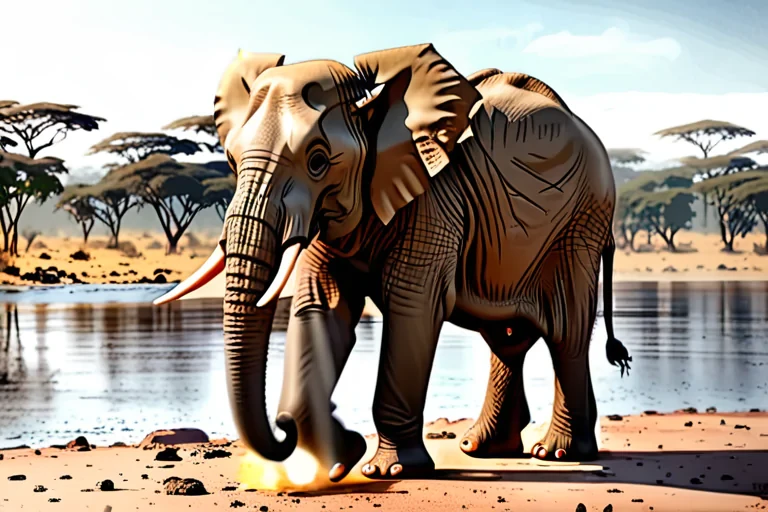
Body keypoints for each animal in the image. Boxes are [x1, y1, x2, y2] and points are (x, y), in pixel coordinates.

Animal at [154, 43, 632, 483]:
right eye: (231, 160)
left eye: (318, 161)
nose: (284, 427)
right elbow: (322, 306)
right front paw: (338, 457)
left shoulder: (435, 199)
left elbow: (412, 308)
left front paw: (387, 470)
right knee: (508, 338)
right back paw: (482, 449)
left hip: (580, 222)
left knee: (565, 330)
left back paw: (559, 453)